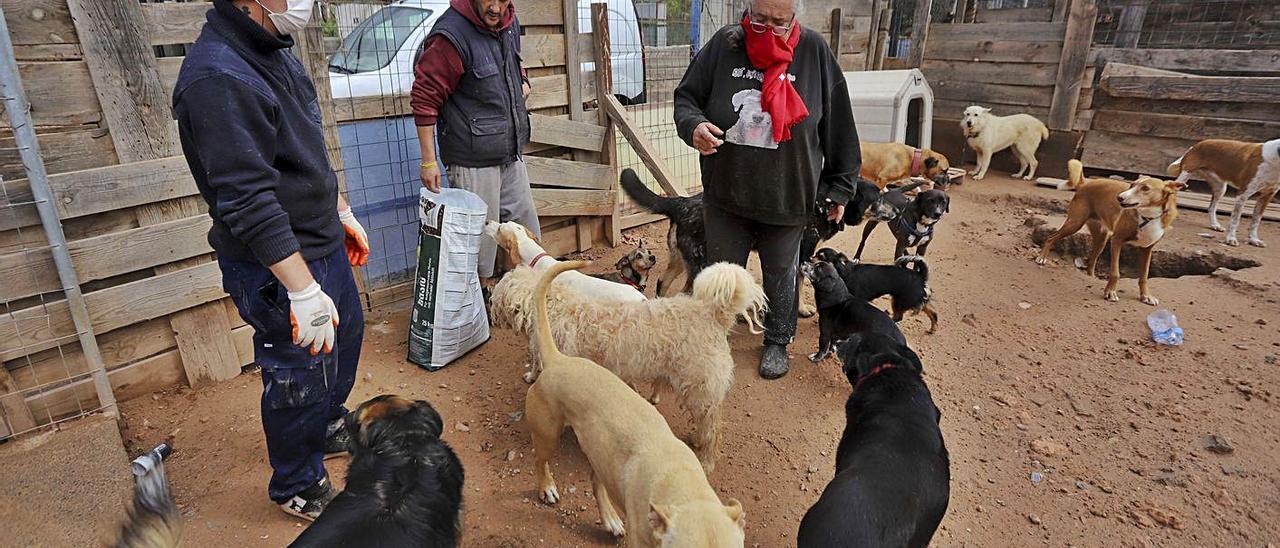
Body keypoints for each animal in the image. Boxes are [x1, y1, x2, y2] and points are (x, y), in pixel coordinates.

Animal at [491, 261, 762, 471]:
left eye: (496, 296)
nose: (492, 313)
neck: (553, 307)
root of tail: (713, 313)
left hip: (699, 388)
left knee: (712, 429)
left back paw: (706, 461)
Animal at [616, 169, 880, 302]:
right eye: (878, 198)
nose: (892, 210)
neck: (823, 203)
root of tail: (680, 203)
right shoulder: (802, 254)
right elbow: (799, 286)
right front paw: (804, 309)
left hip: (682, 259)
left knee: (663, 282)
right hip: (699, 262)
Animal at [1034, 158, 1182, 306]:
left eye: (1145, 188)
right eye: (1131, 185)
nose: (1119, 198)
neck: (1148, 217)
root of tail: (1085, 184)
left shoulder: (1147, 249)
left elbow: (1144, 276)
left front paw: (1146, 296)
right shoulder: (1116, 241)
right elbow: (1115, 273)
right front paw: (1110, 292)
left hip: (1102, 239)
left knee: (1092, 260)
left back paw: (1091, 276)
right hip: (1075, 224)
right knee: (1051, 237)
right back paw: (1041, 258)